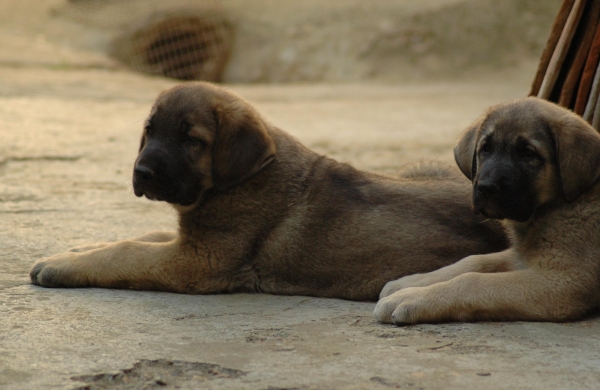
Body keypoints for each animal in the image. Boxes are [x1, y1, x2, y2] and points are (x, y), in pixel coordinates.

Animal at [28, 81, 506, 302]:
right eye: (149, 132)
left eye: (191, 140)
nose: (142, 172)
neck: (237, 181)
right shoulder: (191, 240)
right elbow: (141, 236)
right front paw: (76, 249)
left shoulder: (197, 260)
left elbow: (128, 250)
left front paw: (62, 265)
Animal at [376, 96, 600, 322]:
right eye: (485, 149)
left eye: (528, 153)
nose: (485, 187)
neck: (559, 204)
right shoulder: (521, 257)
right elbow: (473, 261)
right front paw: (411, 282)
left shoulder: (563, 281)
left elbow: (471, 280)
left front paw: (412, 297)